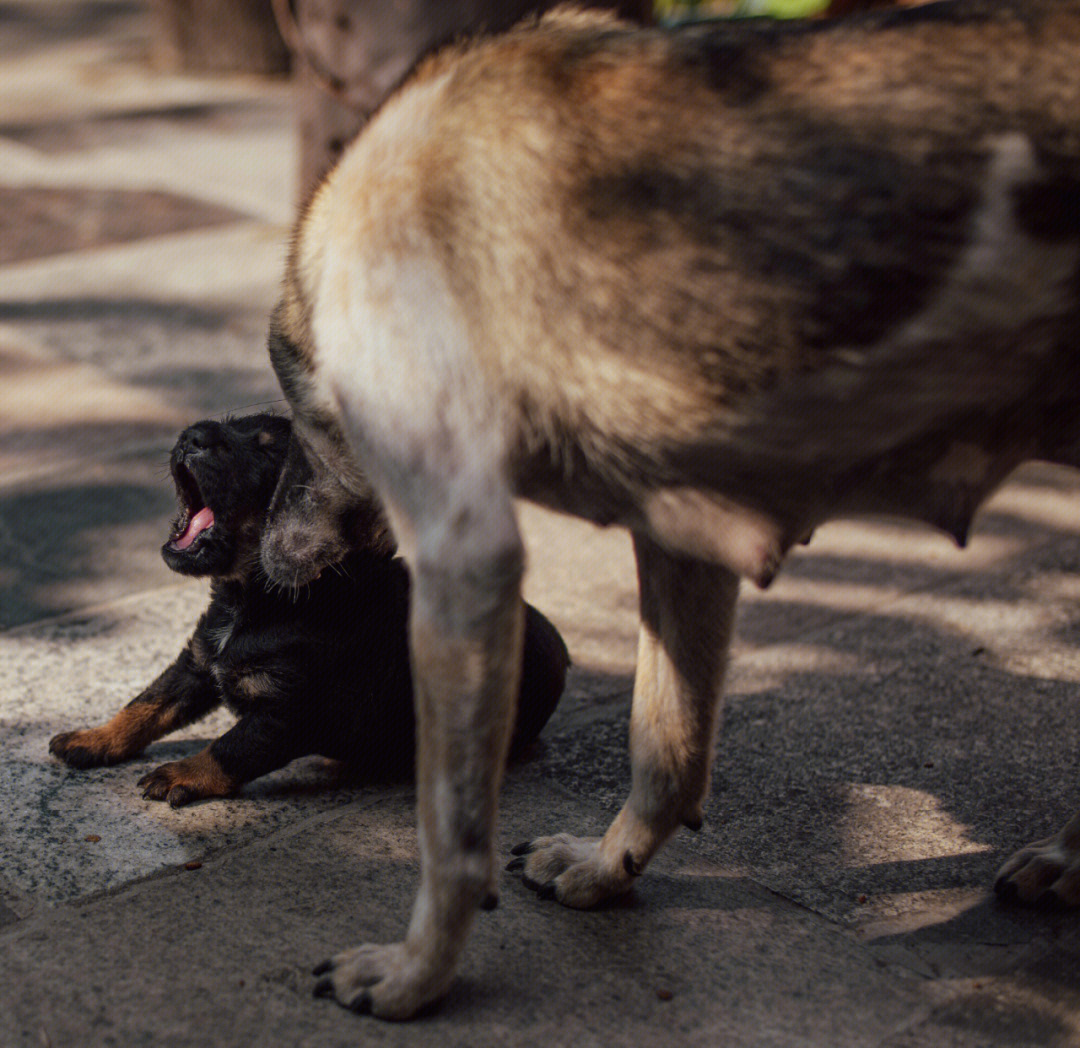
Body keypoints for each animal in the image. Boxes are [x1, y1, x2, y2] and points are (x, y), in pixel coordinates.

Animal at [48, 412, 574, 803]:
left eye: (266, 452)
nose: (190, 435)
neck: (254, 599)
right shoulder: (197, 663)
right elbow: (146, 704)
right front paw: (92, 739)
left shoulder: (291, 710)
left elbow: (229, 748)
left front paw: (180, 773)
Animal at [259, 0, 1080, 1011]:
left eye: (288, 436)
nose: (265, 555)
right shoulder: (687, 544)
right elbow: (667, 745)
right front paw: (605, 870)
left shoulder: (464, 553)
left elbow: (450, 833)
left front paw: (416, 976)